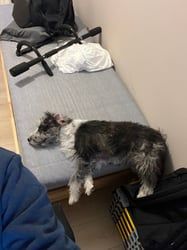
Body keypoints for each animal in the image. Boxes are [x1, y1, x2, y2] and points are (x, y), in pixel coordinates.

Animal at [27, 112, 167, 204]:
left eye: (42, 128)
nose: (28, 139)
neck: (65, 132)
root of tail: (160, 137)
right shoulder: (94, 159)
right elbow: (87, 173)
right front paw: (89, 186)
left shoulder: (84, 157)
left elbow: (75, 177)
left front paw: (73, 197)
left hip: (145, 160)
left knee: (151, 181)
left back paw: (142, 194)